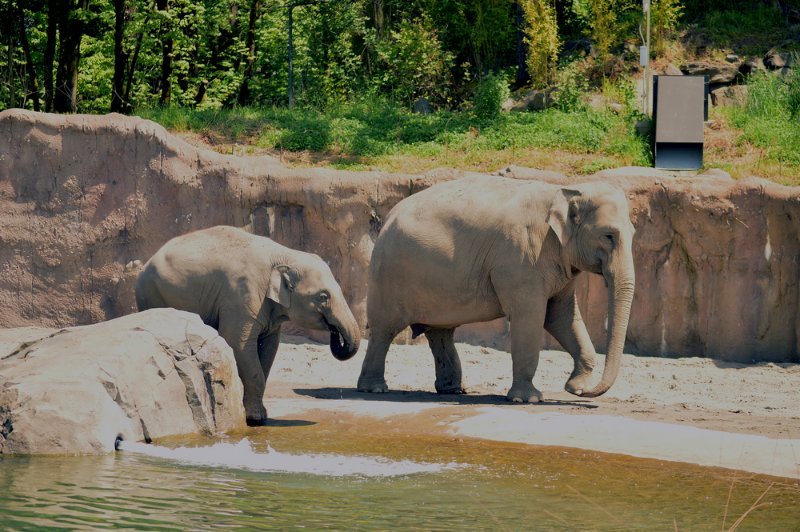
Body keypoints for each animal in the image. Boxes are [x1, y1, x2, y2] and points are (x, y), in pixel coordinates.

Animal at [136, 227, 360, 426]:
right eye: (323, 296)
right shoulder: (242, 296)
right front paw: (255, 419)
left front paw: (261, 414)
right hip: (151, 294)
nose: (335, 332)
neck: (284, 255)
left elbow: (268, 349)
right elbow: (238, 343)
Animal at [360, 175, 636, 404]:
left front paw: (576, 384)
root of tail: (388, 217)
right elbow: (531, 317)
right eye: (609, 235)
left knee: (440, 333)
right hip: (389, 275)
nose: (580, 392)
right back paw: (375, 389)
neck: (564, 190)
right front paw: (528, 399)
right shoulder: (522, 259)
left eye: (633, 234)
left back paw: (454, 390)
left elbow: (562, 317)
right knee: (384, 330)